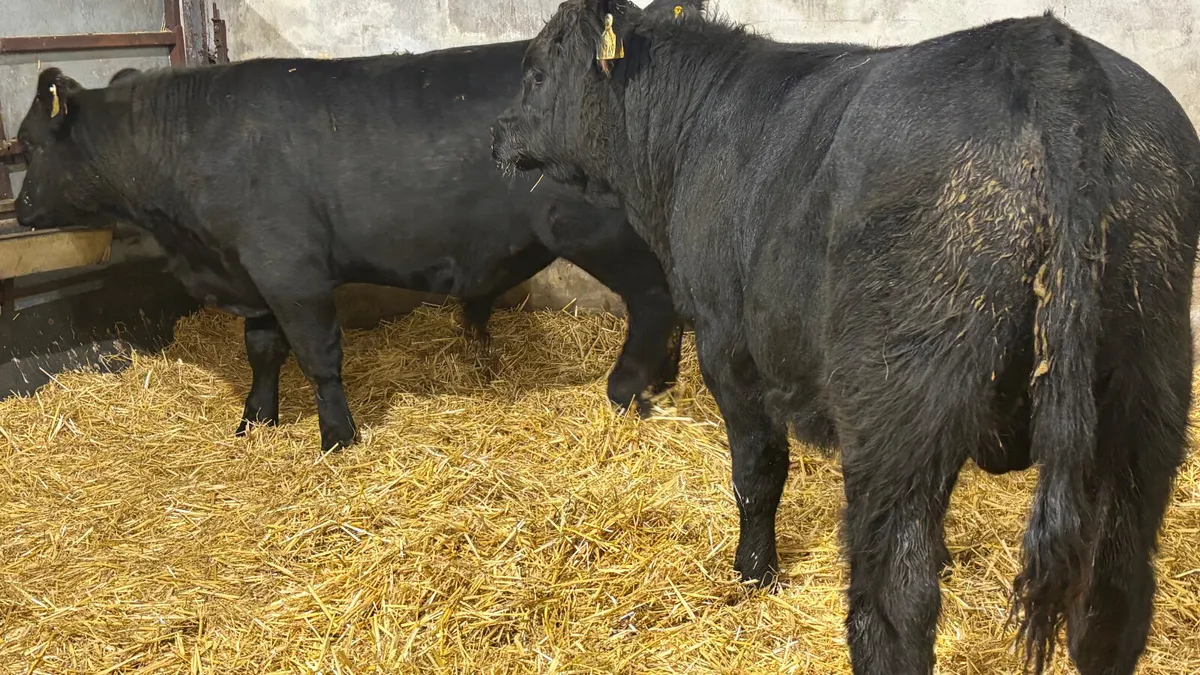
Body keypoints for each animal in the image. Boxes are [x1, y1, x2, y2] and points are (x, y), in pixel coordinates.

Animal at [13, 8, 697, 453]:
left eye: (28, 145)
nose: (18, 211)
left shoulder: (292, 270)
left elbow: (318, 356)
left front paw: (337, 437)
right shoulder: (253, 273)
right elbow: (263, 351)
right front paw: (256, 422)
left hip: (598, 231)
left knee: (654, 299)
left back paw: (625, 388)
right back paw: (661, 380)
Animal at [491, 1, 1200, 672]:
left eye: (536, 71)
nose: (498, 131)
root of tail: (1049, 49)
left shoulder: (727, 342)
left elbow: (757, 469)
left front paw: (754, 572)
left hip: (898, 402)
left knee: (896, 599)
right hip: (1146, 394)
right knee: (1115, 597)